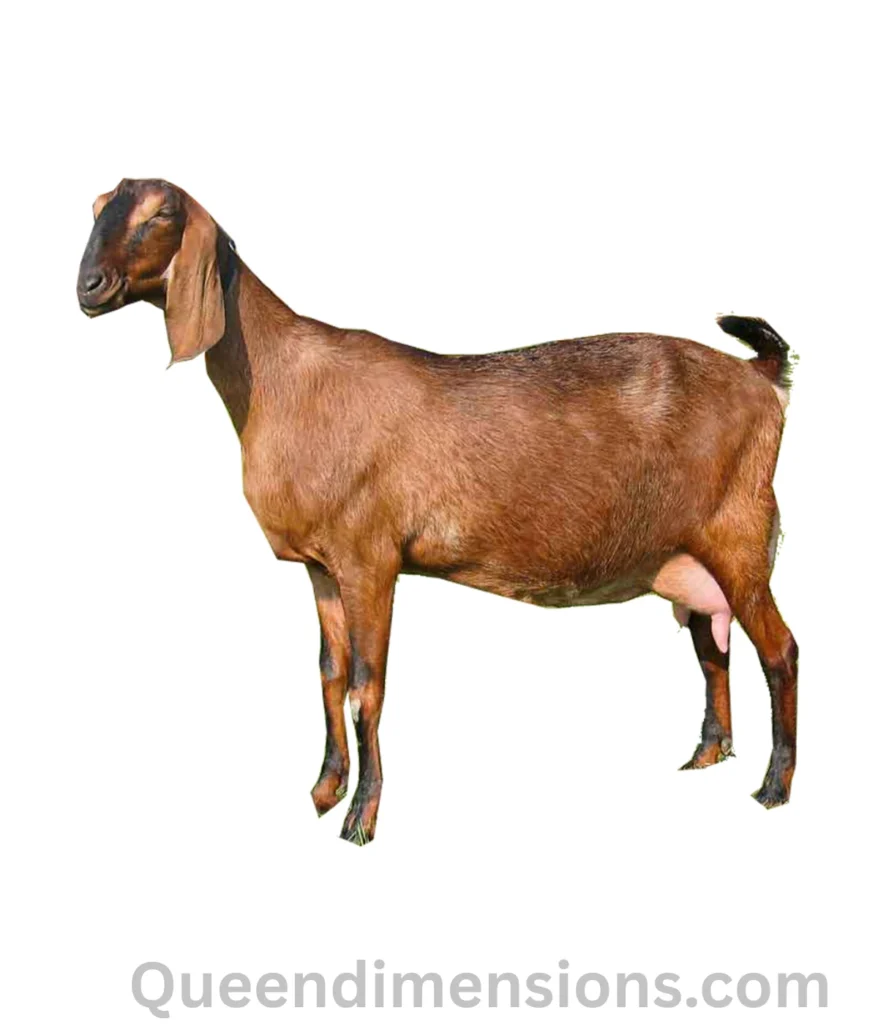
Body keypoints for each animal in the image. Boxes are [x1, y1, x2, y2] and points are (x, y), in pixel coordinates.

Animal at [77, 179, 799, 845]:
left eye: (161, 214)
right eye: (97, 209)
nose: (89, 286)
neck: (286, 380)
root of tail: (762, 379)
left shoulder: (370, 557)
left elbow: (367, 688)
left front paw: (360, 820)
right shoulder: (321, 567)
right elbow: (329, 676)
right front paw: (323, 791)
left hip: (741, 536)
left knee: (780, 651)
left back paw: (773, 786)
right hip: (686, 556)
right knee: (711, 646)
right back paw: (707, 755)